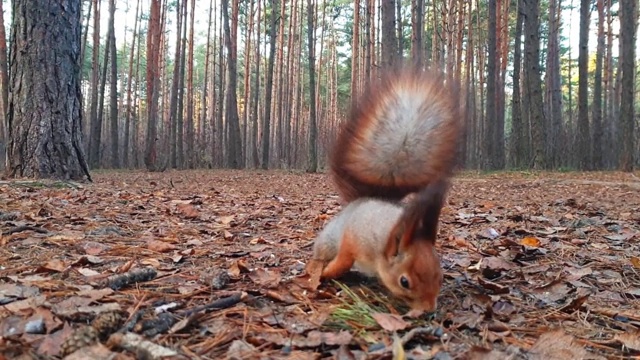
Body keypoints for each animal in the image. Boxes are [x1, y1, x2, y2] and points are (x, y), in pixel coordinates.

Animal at [308, 65, 462, 316]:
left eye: (440, 277)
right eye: (404, 282)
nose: (429, 309)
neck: (385, 236)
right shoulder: (353, 239)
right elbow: (343, 261)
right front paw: (327, 273)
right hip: (330, 237)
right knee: (322, 250)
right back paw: (315, 265)